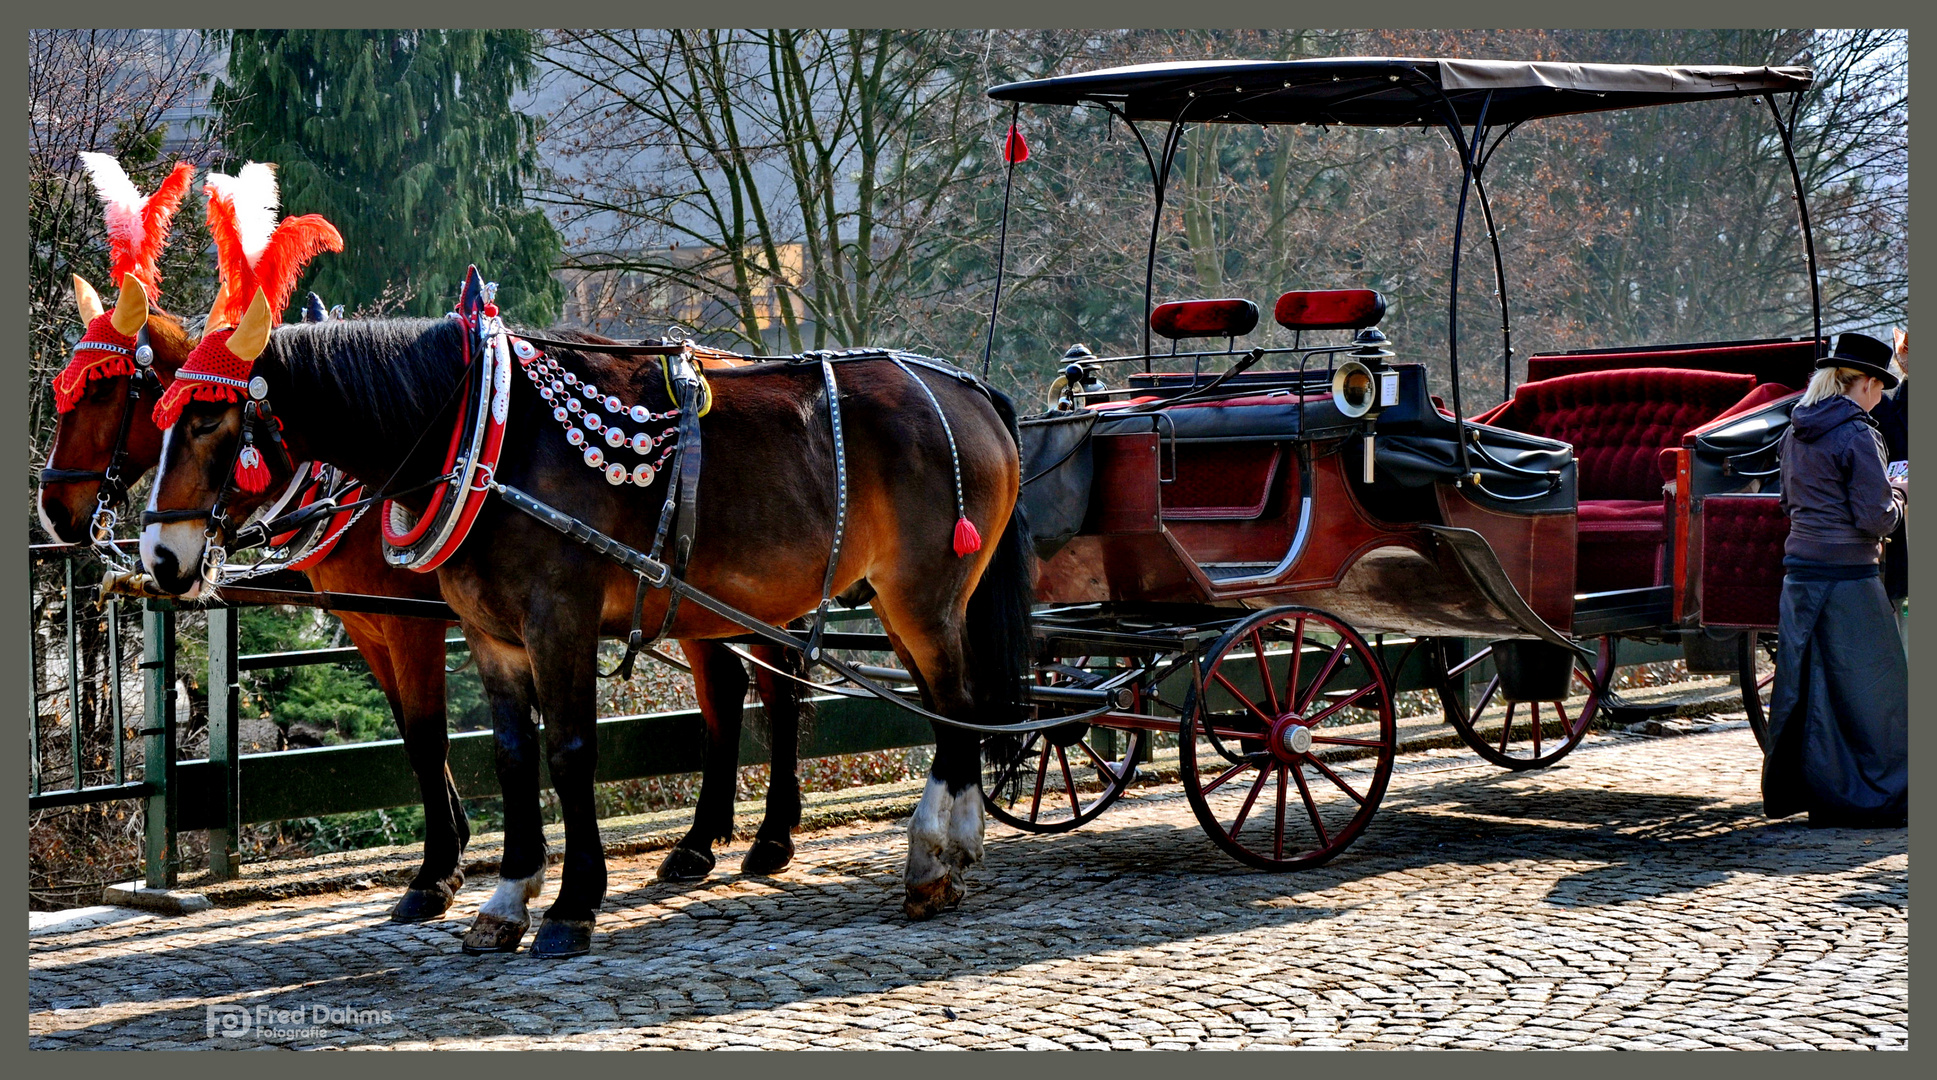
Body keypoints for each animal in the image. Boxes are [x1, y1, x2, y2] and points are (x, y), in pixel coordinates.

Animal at [39, 278, 809, 921]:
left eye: (104, 394)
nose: (54, 509)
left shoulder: (415, 626)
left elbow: (430, 733)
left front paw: (438, 871)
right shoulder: (372, 626)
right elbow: (414, 735)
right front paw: (465, 849)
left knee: (770, 685)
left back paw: (764, 835)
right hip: (694, 600)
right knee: (737, 685)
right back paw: (708, 840)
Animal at [143, 309, 1038, 960]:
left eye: (209, 422)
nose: (160, 557)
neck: (488, 434)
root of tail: (966, 390)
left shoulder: (556, 620)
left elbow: (569, 752)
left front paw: (572, 904)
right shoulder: (492, 635)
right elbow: (512, 757)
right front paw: (506, 899)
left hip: (922, 595)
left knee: (955, 705)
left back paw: (932, 853)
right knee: (939, 710)